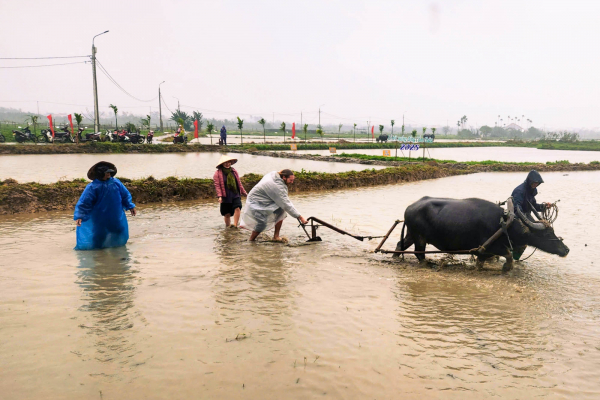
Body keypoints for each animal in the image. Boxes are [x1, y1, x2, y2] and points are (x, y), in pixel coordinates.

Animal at [396, 197, 568, 272]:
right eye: (546, 233)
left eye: (553, 231)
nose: (566, 249)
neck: (504, 224)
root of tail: (409, 207)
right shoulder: (493, 247)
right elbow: (508, 255)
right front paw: (506, 267)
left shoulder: (483, 252)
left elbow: (481, 262)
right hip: (419, 238)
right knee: (419, 253)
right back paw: (428, 264)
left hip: (411, 234)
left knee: (400, 245)